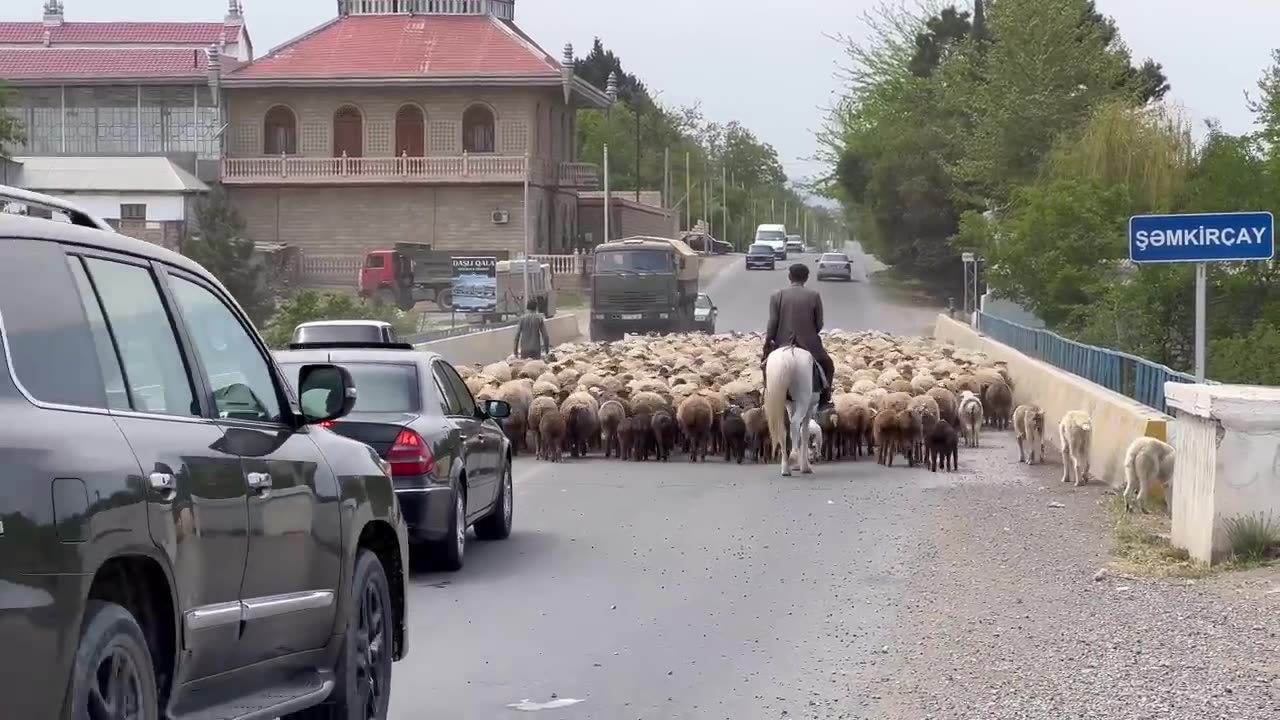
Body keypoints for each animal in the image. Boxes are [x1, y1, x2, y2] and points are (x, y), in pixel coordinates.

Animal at [762, 343, 814, 474]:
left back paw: (785, 467)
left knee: (783, 429)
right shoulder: (811, 407)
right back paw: (794, 456)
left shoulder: (790, 406)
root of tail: (788, 354)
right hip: (803, 401)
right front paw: (805, 466)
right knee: (795, 424)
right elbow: (804, 432)